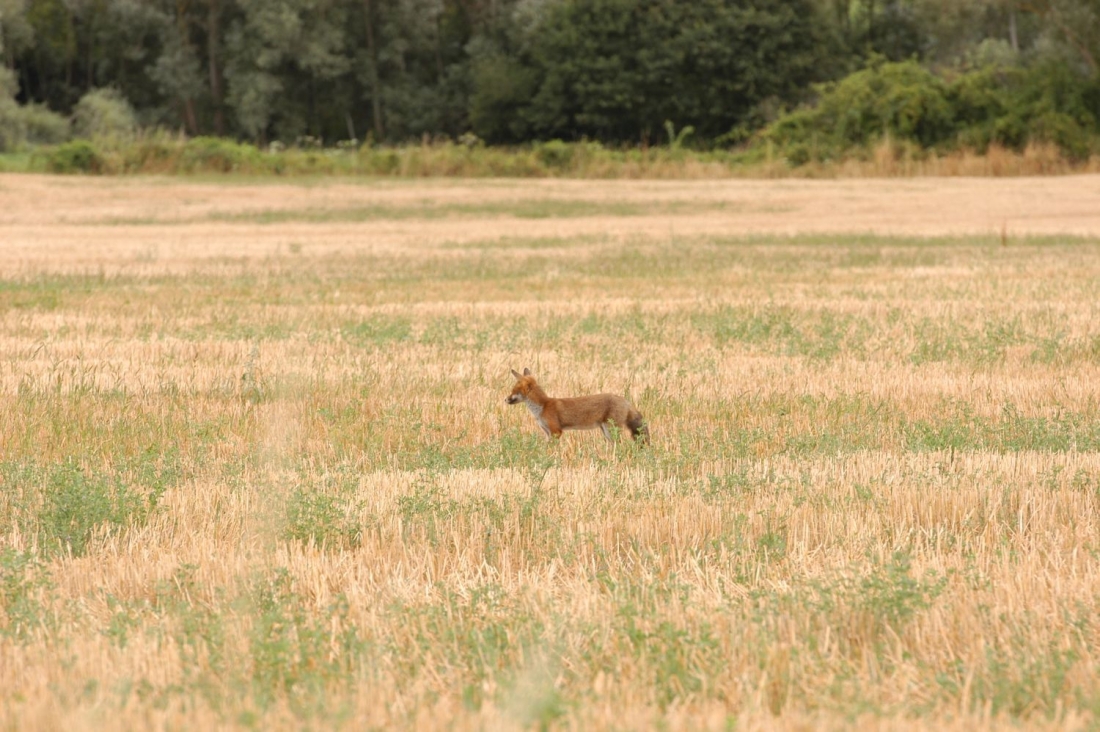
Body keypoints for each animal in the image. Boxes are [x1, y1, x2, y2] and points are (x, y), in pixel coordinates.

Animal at [506, 368, 649, 444]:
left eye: (513, 391)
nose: (505, 399)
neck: (542, 406)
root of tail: (625, 400)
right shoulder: (547, 432)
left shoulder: (556, 431)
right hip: (606, 431)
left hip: (611, 430)